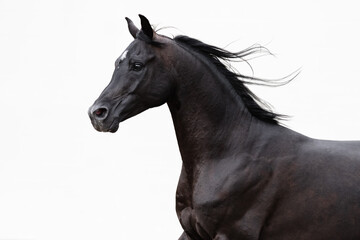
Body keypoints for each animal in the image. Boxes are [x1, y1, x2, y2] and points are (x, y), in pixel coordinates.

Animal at [88, 15, 360, 240]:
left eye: (137, 65)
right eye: (117, 63)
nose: (97, 114)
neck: (228, 153)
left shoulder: (231, 235)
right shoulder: (191, 233)